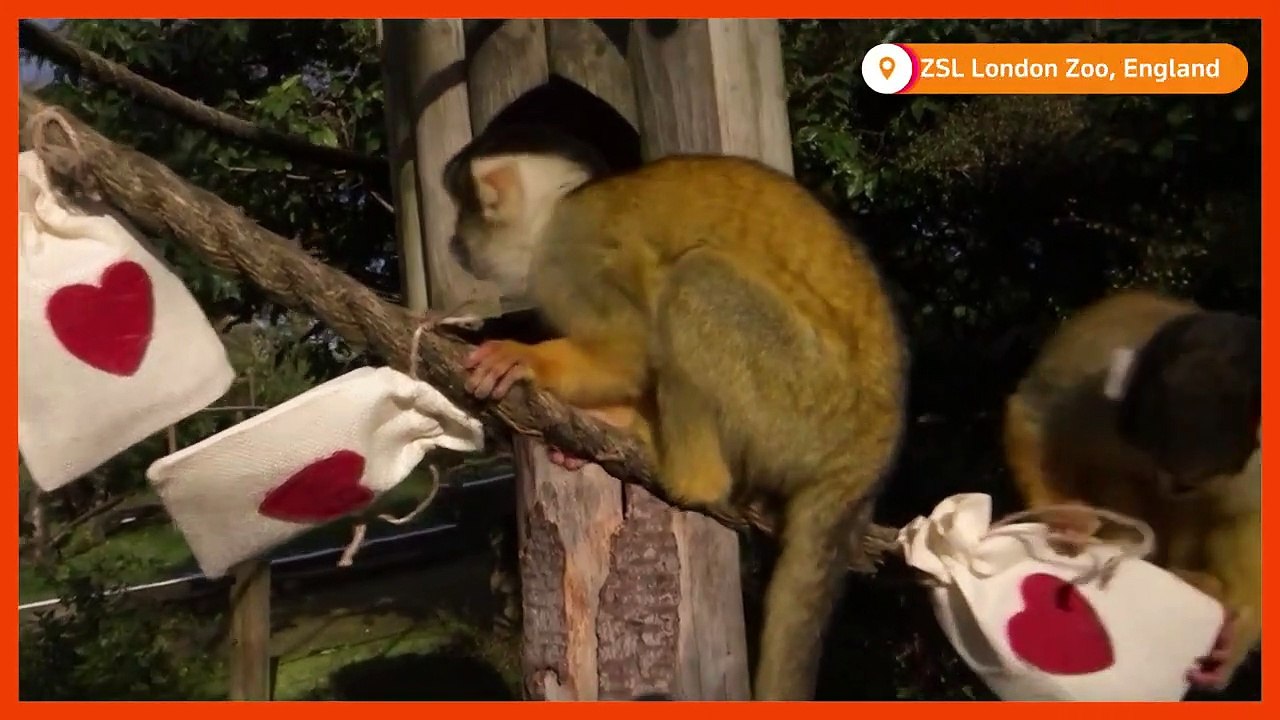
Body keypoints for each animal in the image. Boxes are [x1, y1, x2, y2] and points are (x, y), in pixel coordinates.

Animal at [440, 124, 908, 700]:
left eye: (464, 211)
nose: (453, 241)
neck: (554, 213)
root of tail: (868, 457)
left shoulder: (570, 256)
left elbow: (632, 345)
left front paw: (528, 359)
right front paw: (619, 414)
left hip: (806, 399)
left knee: (694, 283)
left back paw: (688, 476)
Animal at [1002, 288, 1261, 693]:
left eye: (1185, 478)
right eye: (1153, 452)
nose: (1172, 483)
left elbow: (1249, 514)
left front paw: (1238, 637)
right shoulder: (1097, 394)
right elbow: (1032, 414)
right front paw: (1066, 516)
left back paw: (1198, 580)